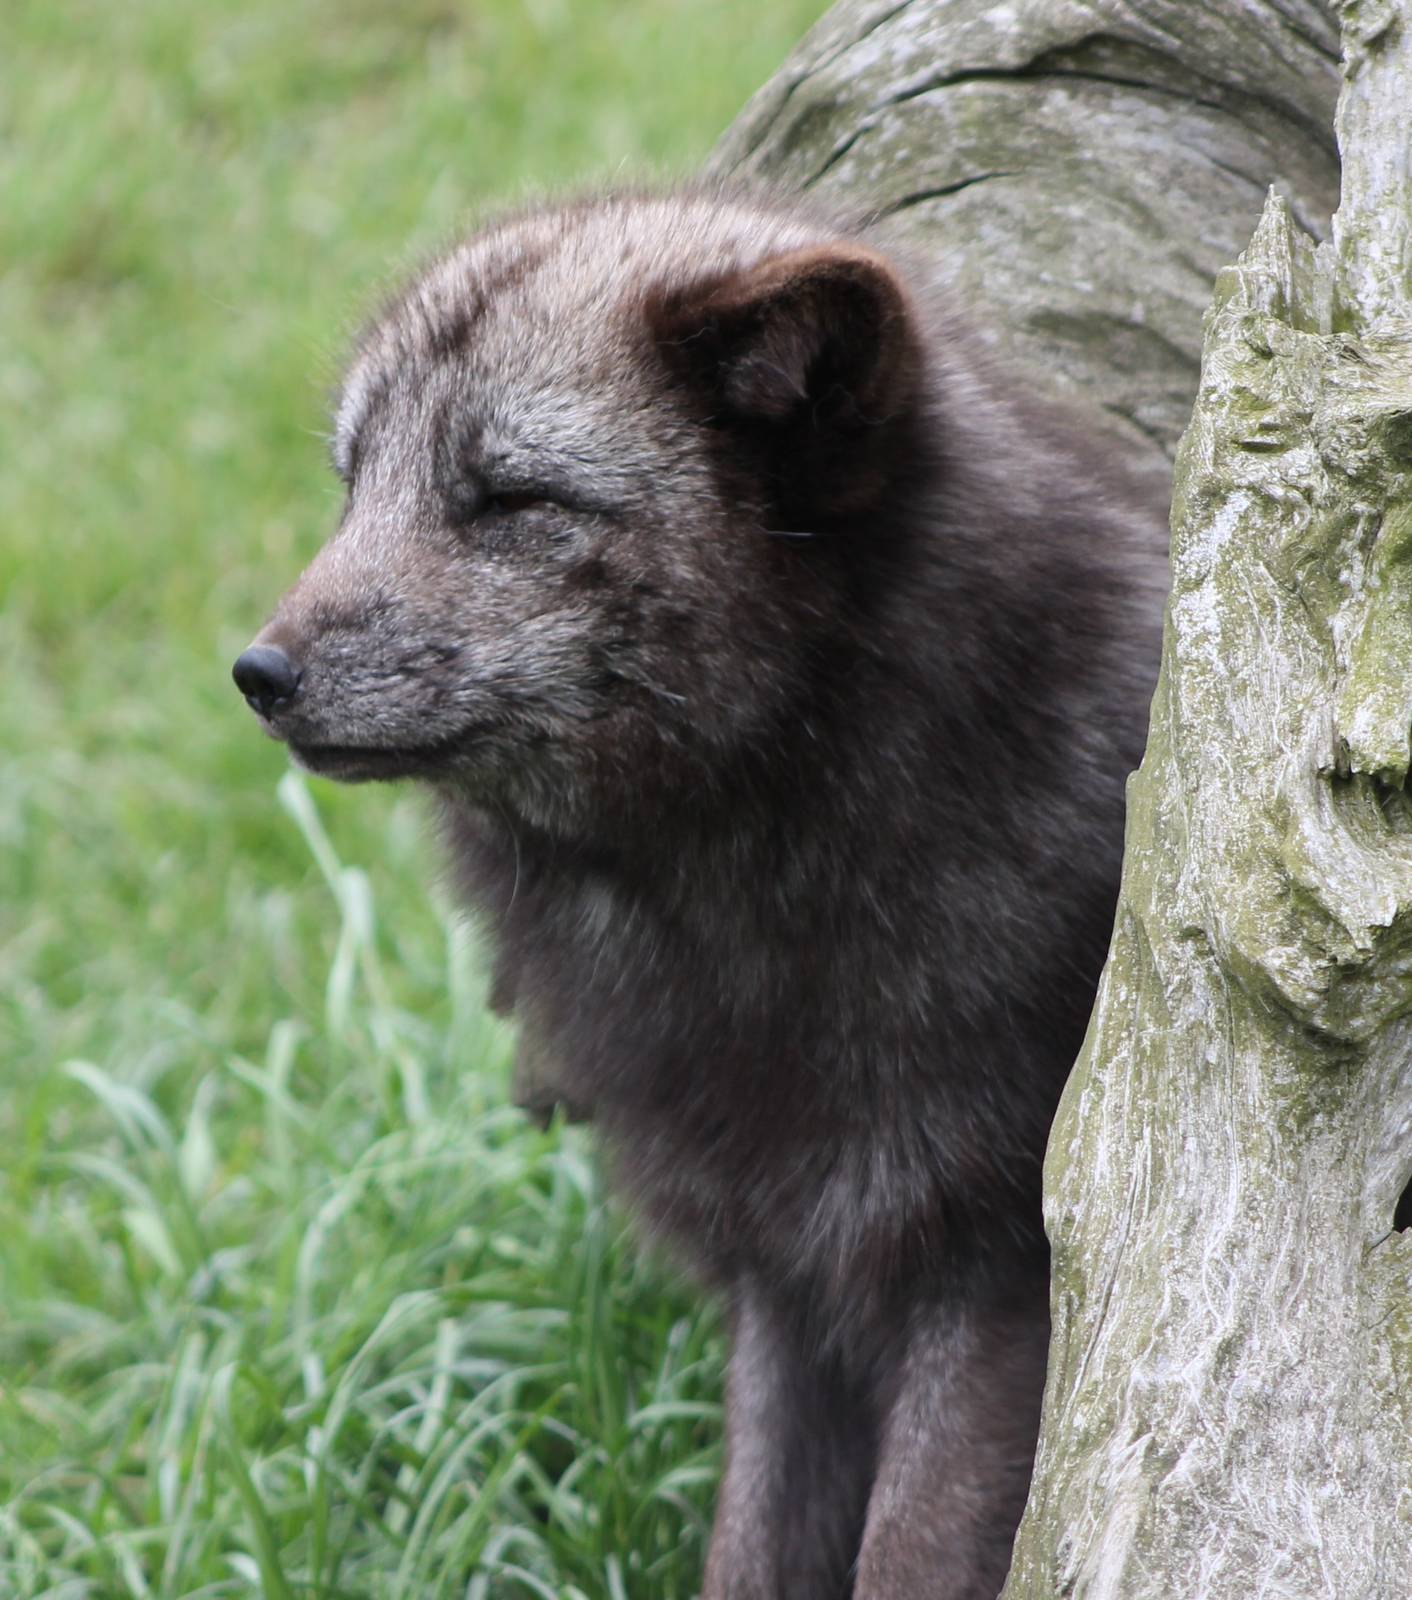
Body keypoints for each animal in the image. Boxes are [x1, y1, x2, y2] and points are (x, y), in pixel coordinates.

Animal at [233, 185, 1168, 1600]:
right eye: (353, 484)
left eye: (509, 499)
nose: (257, 673)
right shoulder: (785, 1271)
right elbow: (754, 1544)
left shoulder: (986, 1268)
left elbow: (906, 1555)